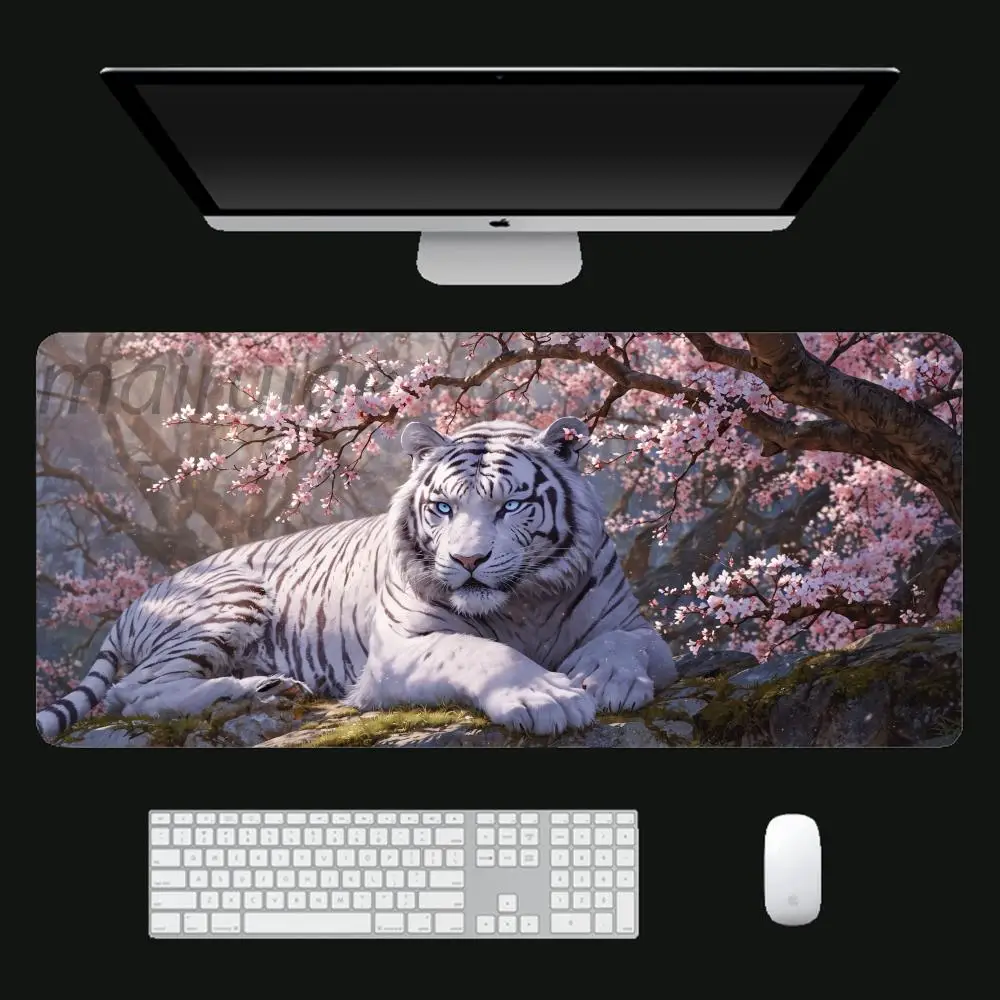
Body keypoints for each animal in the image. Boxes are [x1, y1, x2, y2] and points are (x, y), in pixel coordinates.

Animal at [36, 417, 677, 742]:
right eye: (443, 507)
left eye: (512, 505)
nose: (468, 561)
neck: (523, 603)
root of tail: (136, 600)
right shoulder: (398, 651)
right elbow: (478, 651)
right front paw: (546, 697)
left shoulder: (637, 628)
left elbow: (624, 644)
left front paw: (604, 679)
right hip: (231, 596)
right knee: (133, 691)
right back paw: (242, 692)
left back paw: (268, 688)